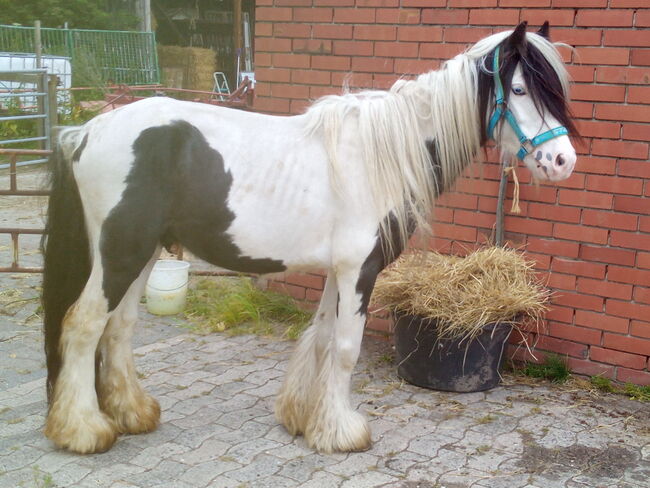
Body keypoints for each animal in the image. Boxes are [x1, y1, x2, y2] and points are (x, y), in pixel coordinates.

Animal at [41, 22, 576, 454]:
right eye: (521, 89)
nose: (563, 161)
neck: (383, 155)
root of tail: (84, 132)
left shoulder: (339, 271)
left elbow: (320, 338)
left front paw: (303, 418)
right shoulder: (359, 270)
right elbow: (345, 348)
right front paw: (342, 433)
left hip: (141, 253)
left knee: (119, 328)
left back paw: (133, 413)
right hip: (119, 253)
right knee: (85, 325)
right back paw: (83, 430)